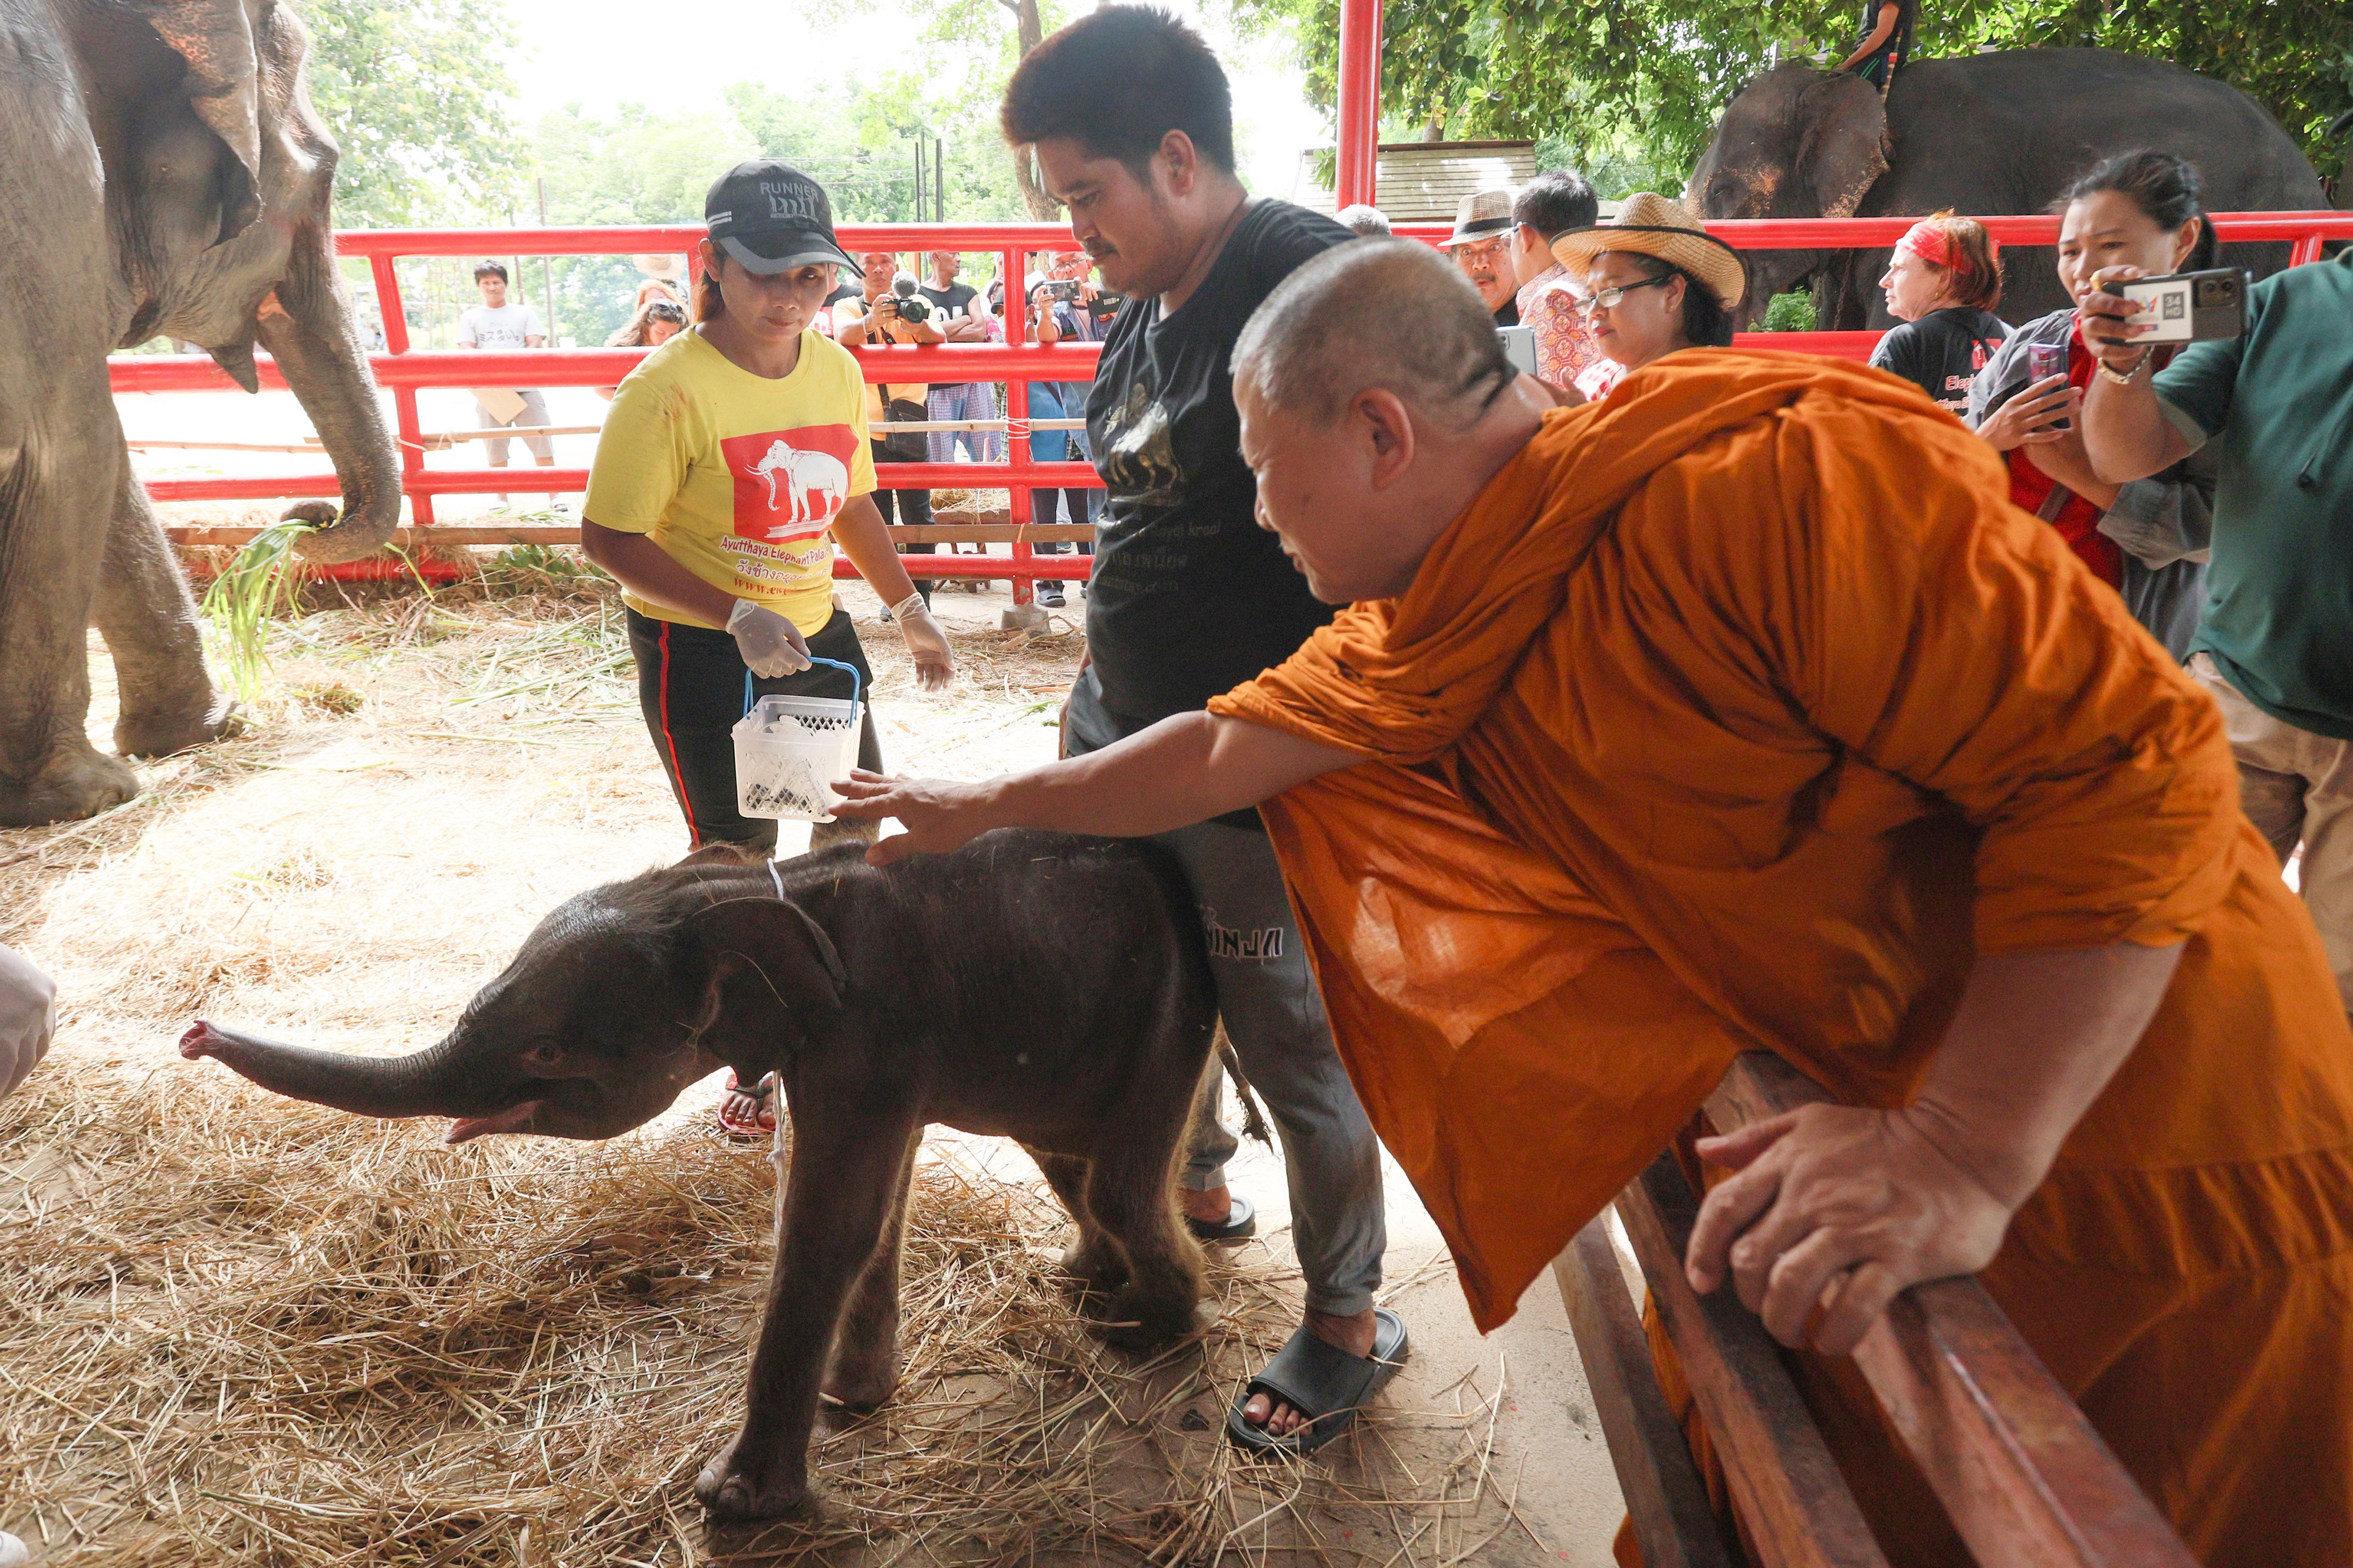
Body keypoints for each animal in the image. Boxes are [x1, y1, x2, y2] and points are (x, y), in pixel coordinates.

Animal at [0, 0, 402, 827]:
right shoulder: (46, 189)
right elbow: (74, 450)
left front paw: (206, 731)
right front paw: (90, 795)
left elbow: (110, 471)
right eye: (326, 175)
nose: (309, 514)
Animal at [181, 832, 1222, 1520]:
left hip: (1168, 1017)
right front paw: (853, 1399)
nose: (192, 1032)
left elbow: (831, 1221)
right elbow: (874, 1204)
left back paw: (1147, 1327)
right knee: (1070, 1163)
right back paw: (1087, 1284)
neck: (733, 891)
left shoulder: (870, 1030)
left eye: (550, 1051)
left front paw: (732, 1499)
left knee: (1118, 1179)